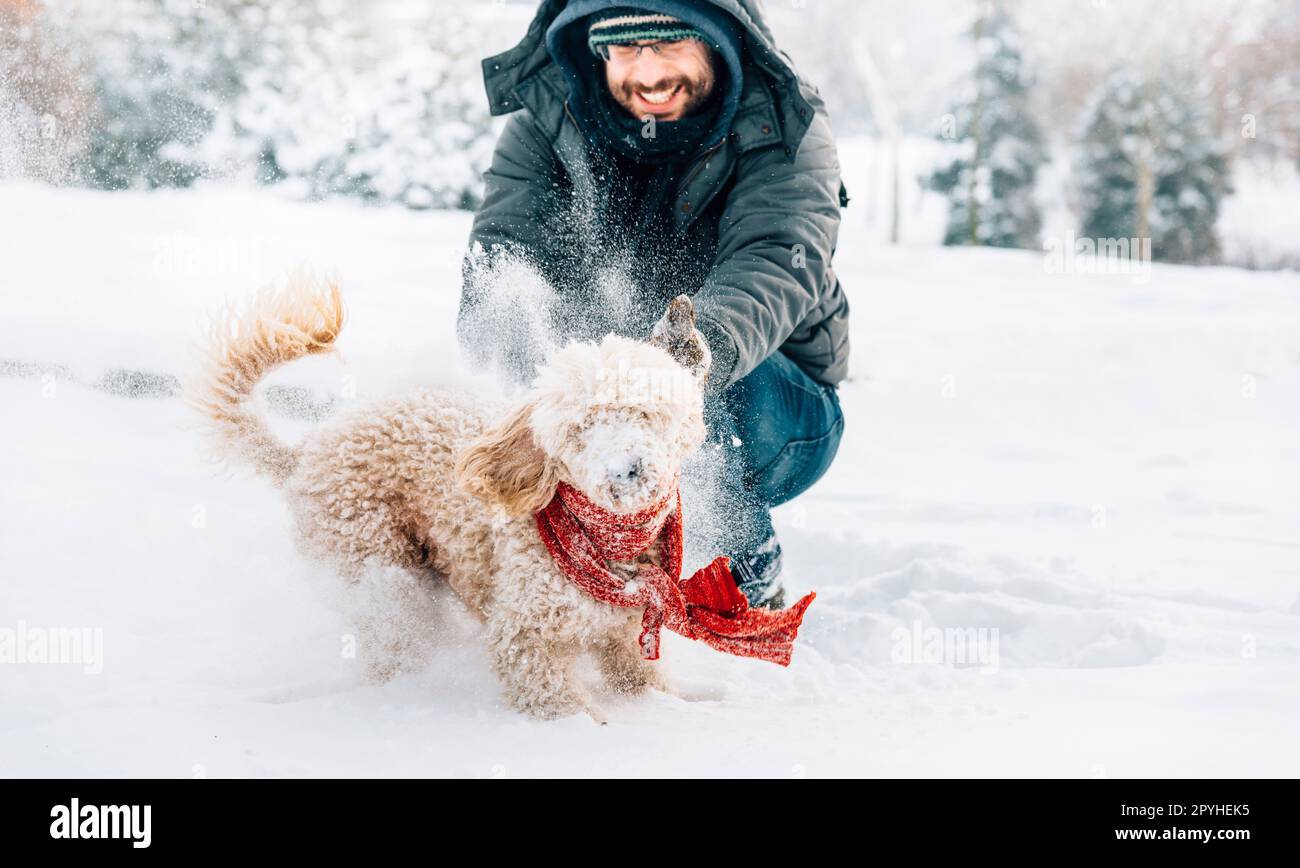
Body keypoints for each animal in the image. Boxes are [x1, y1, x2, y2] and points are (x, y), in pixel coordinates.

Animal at [189, 276, 712, 717]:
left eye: (645, 413)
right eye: (579, 428)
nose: (626, 469)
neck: (609, 543)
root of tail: (306, 452)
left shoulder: (626, 634)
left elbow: (640, 680)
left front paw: (675, 704)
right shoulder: (524, 639)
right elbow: (557, 699)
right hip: (378, 566)